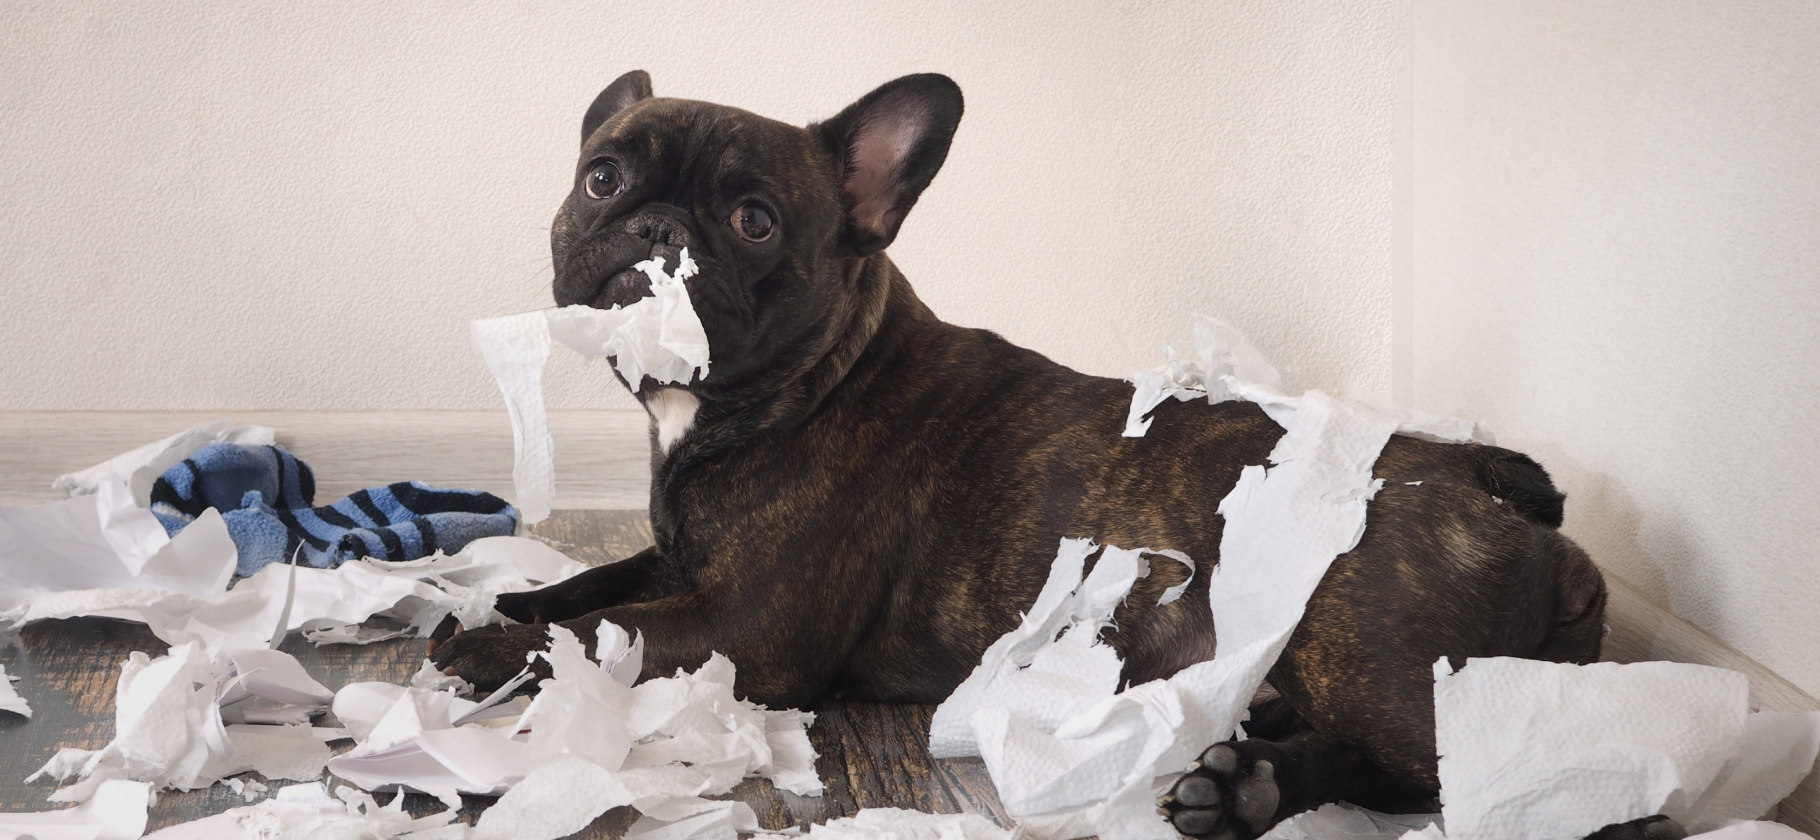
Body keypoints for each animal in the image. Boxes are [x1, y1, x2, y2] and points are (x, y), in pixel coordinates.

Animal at [429, 72, 1674, 840]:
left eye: (753, 222)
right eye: (601, 177)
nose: (651, 229)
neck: (788, 386)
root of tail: (1486, 479)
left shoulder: (745, 623)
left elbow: (612, 631)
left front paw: (489, 650)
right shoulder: (680, 559)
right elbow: (589, 584)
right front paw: (504, 605)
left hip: (1366, 645)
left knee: (1494, 778)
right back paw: (1245, 781)